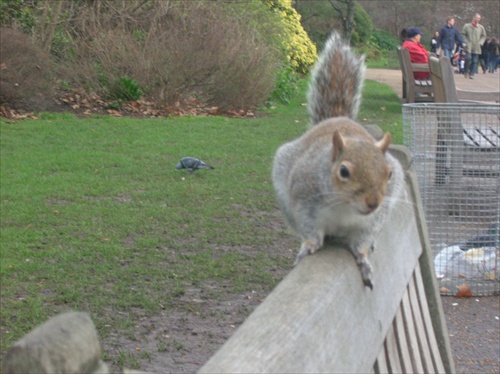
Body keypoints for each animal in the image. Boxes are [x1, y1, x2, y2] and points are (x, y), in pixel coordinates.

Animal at [272, 32, 404, 290]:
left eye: (389, 173)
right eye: (343, 172)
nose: (373, 202)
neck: (345, 207)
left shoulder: (371, 221)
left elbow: (361, 241)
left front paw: (363, 258)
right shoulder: (305, 199)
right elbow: (310, 231)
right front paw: (309, 247)